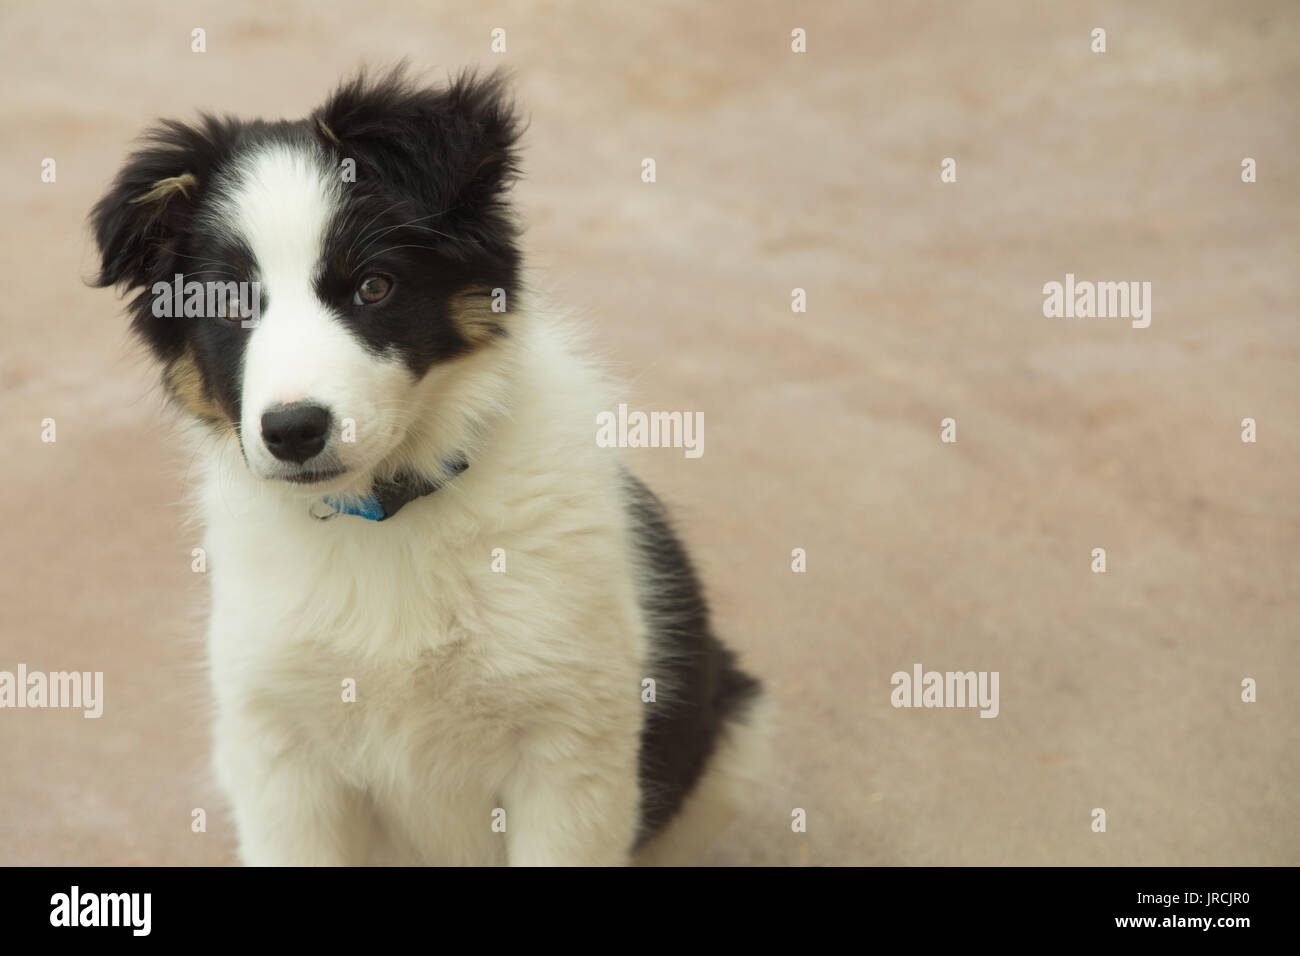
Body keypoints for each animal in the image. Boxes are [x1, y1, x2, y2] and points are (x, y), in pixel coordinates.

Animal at [91, 70, 764, 868]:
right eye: (226, 306)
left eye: (374, 287)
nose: (293, 431)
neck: (385, 518)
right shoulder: (279, 754)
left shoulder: (571, 752)